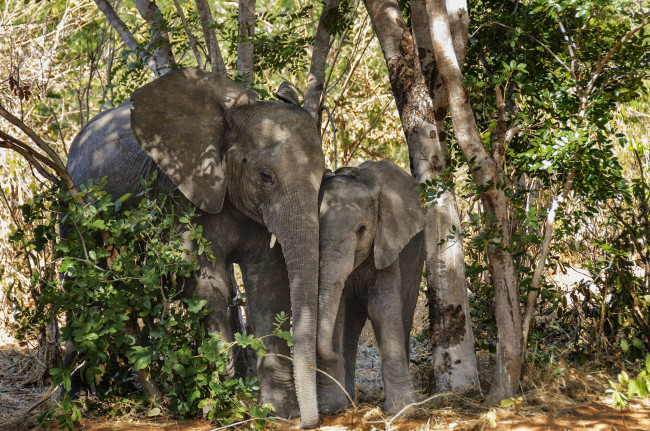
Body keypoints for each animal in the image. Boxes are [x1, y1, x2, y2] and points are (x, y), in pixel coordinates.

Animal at [67, 67, 324, 428]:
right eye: (265, 177)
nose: (308, 420)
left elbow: (268, 284)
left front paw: (279, 412)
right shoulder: (179, 194)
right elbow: (205, 284)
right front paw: (225, 408)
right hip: (76, 203)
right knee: (81, 283)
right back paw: (76, 399)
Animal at [316, 159, 426, 416]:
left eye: (362, 229)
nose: (333, 355)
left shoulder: (387, 245)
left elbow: (383, 309)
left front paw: (404, 408)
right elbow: (339, 312)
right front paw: (331, 408)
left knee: (405, 310)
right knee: (350, 323)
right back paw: (349, 397)